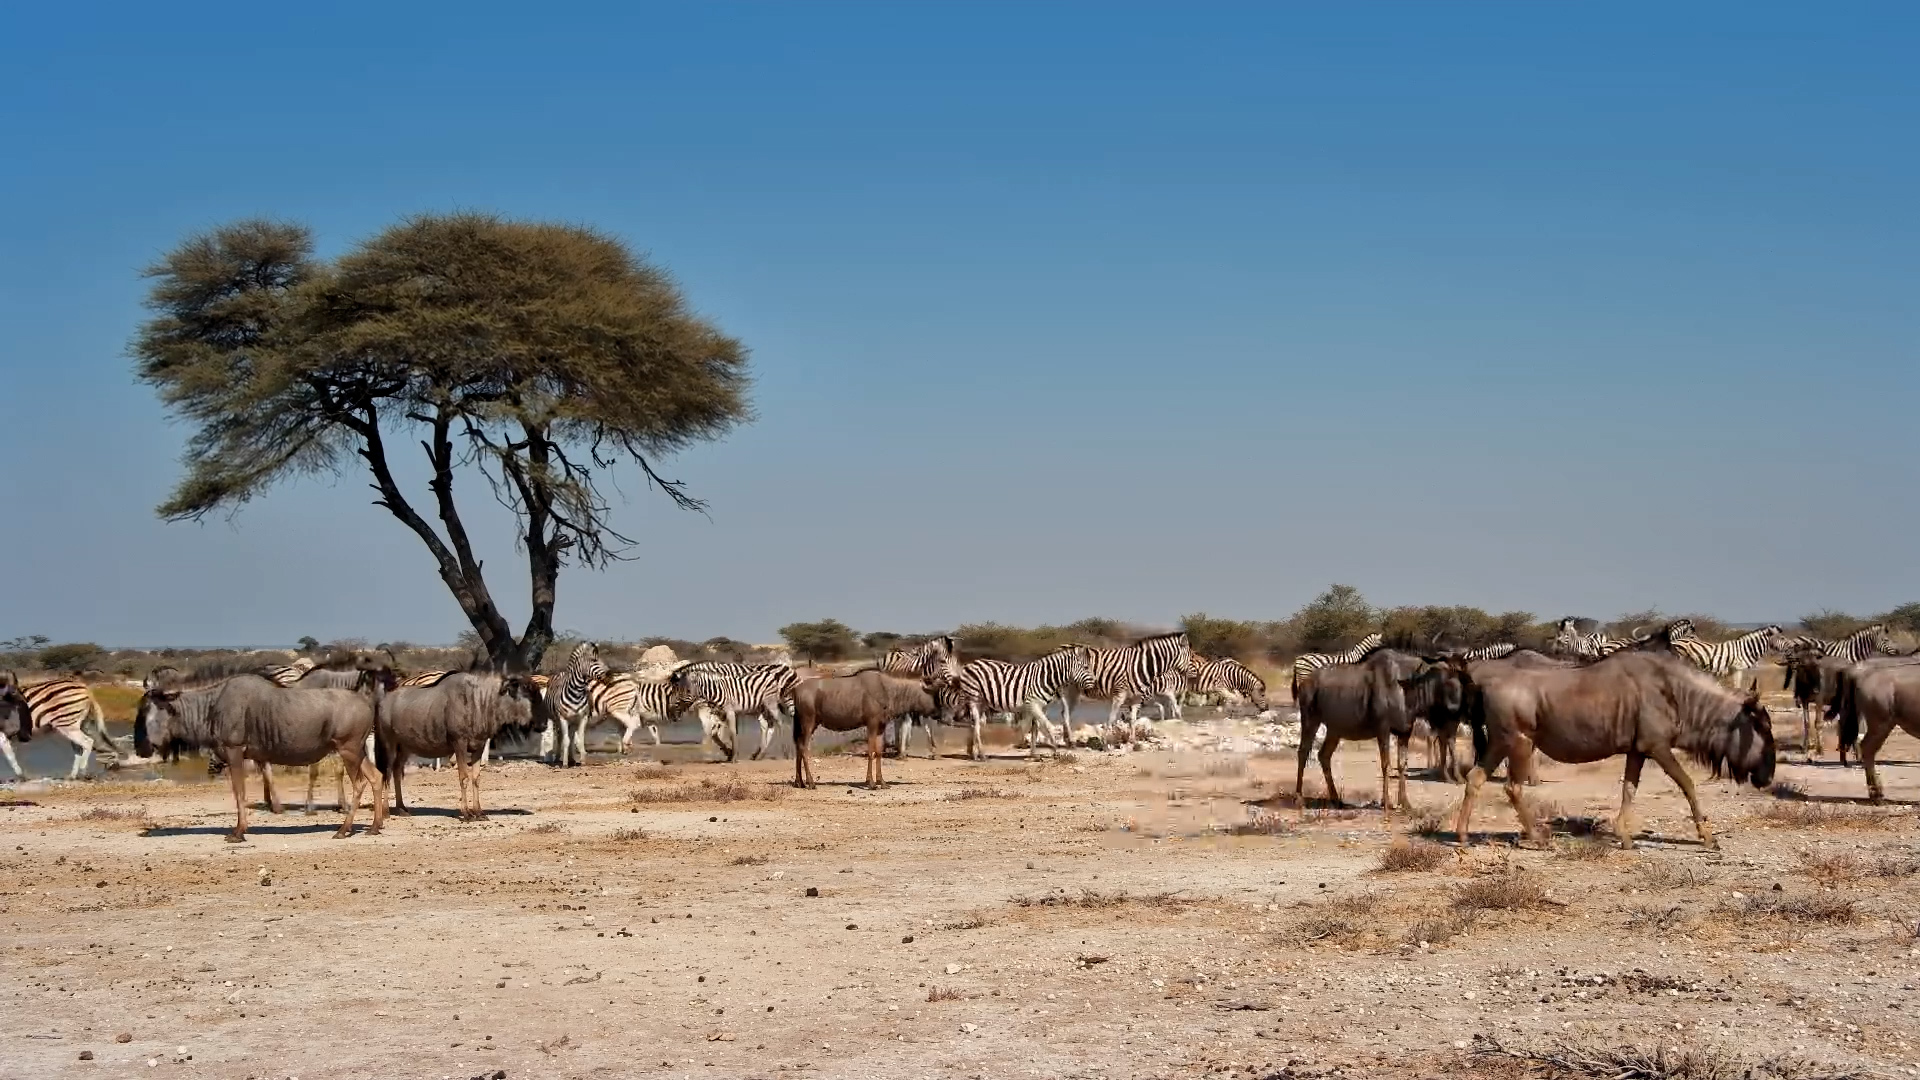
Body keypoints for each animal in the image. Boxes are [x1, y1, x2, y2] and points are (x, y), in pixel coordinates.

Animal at [666, 661, 798, 762]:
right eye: (672, 692)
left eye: (683, 692)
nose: (671, 714)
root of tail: (787, 667)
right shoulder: (719, 711)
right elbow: (714, 733)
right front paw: (729, 753)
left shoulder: (727, 711)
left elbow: (729, 732)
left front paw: (732, 755)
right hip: (763, 707)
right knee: (768, 725)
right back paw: (759, 754)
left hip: (781, 702)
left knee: (782, 721)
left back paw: (787, 752)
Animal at [955, 646, 1094, 760]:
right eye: (1086, 668)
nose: (1094, 685)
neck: (1045, 678)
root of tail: (971, 663)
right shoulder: (1032, 704)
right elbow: (1049, 727)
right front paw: (1055, 751)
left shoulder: (1040, 707)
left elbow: (1035, 730)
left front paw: (1034, 754)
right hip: (973, 698)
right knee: (976, 725)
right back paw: (981, 754)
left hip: (983, 702)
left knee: (973, 724)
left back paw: (972, 753)